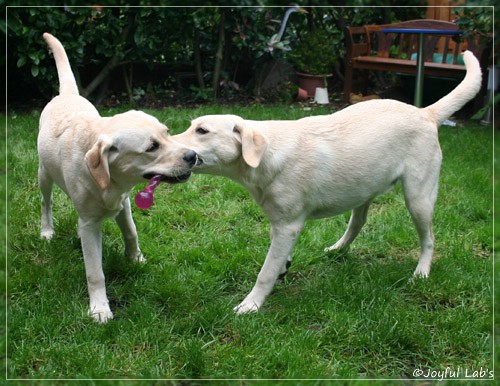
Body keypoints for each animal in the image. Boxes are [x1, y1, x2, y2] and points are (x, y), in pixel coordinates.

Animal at [38, 34, 197, 322]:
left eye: (168, 132)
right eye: (152, 147)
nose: (192, 155)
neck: (109, 180)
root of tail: (67, 95)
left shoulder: (123, 203)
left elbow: (131, 232)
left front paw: (136, 259)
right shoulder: (91, 221)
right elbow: (94, 271)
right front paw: (99, 307)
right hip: (43, 174)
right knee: (46, 202)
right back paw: (46, 230)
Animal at [175, 51, 480, 316]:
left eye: (202, 130)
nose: (171, 146)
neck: (265, 155)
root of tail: (425, 112)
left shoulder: (288, 225)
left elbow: (266, 271)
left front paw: (251, 305)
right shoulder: (279, 223)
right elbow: (276, 258)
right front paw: (283, 267)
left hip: (418, 198)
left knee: (428, 239)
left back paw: (421, 272)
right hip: (364, 187)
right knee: (358, 222)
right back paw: (338, 248)